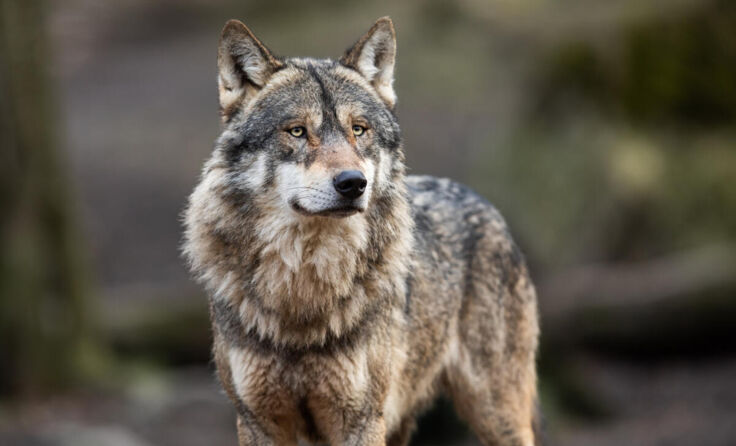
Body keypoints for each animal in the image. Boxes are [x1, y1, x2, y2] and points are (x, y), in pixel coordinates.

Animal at [183, 16, 539, 446]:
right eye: (297, 131)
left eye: (359, 130)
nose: (353, 183)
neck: (303, 292)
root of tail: (479, 199)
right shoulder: (257, 421)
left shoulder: (361, 419)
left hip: (495, 413)